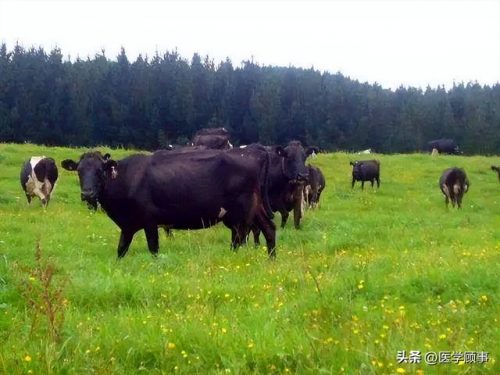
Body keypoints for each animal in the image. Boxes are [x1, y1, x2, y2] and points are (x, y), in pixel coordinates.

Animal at [61, 150, 278, 258]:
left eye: (100, 171)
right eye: (79, 171)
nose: (87, 193)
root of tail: (255, 157)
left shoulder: (149, 220)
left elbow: (153, 247)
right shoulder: (128, 225)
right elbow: (121, 249)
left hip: (240, 213)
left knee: (239, 238)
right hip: (255, 207)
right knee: (269, 228)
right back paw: (271, 259)